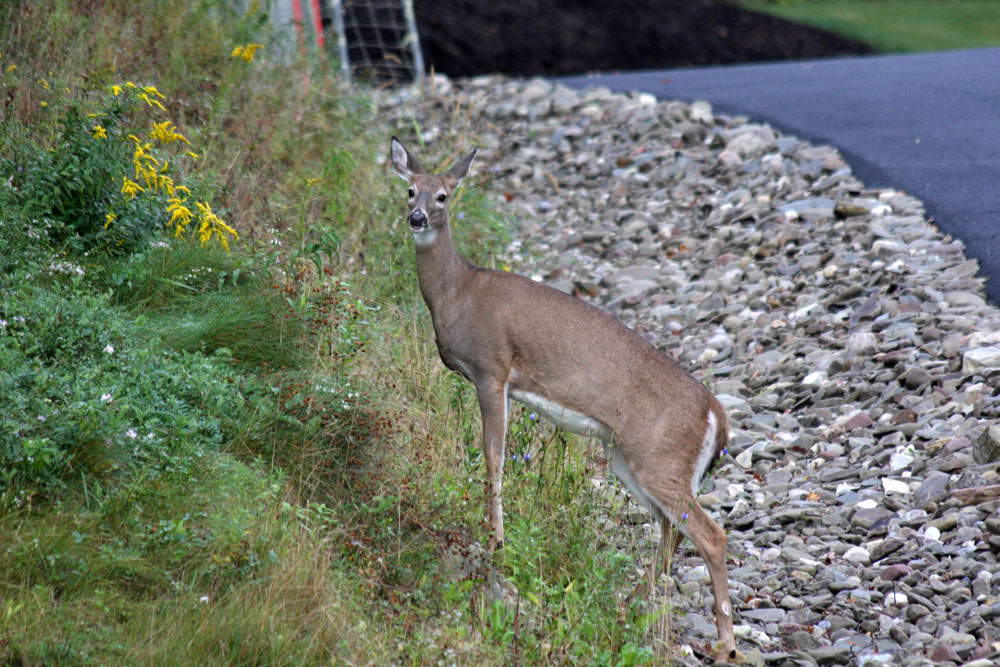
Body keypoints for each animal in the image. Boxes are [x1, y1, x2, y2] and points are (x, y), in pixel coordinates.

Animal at [390, 137, 744, 664]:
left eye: (444, 196)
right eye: (410, 189)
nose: (416, 218)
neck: (457, 293)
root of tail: (716, 415)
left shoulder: (492, 369)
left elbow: (493, 458)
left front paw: (496, 541)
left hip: (657, 457)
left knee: (710, 534)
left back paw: (725, 644)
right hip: (629, 458)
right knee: (671, 529)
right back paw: (632, 604)